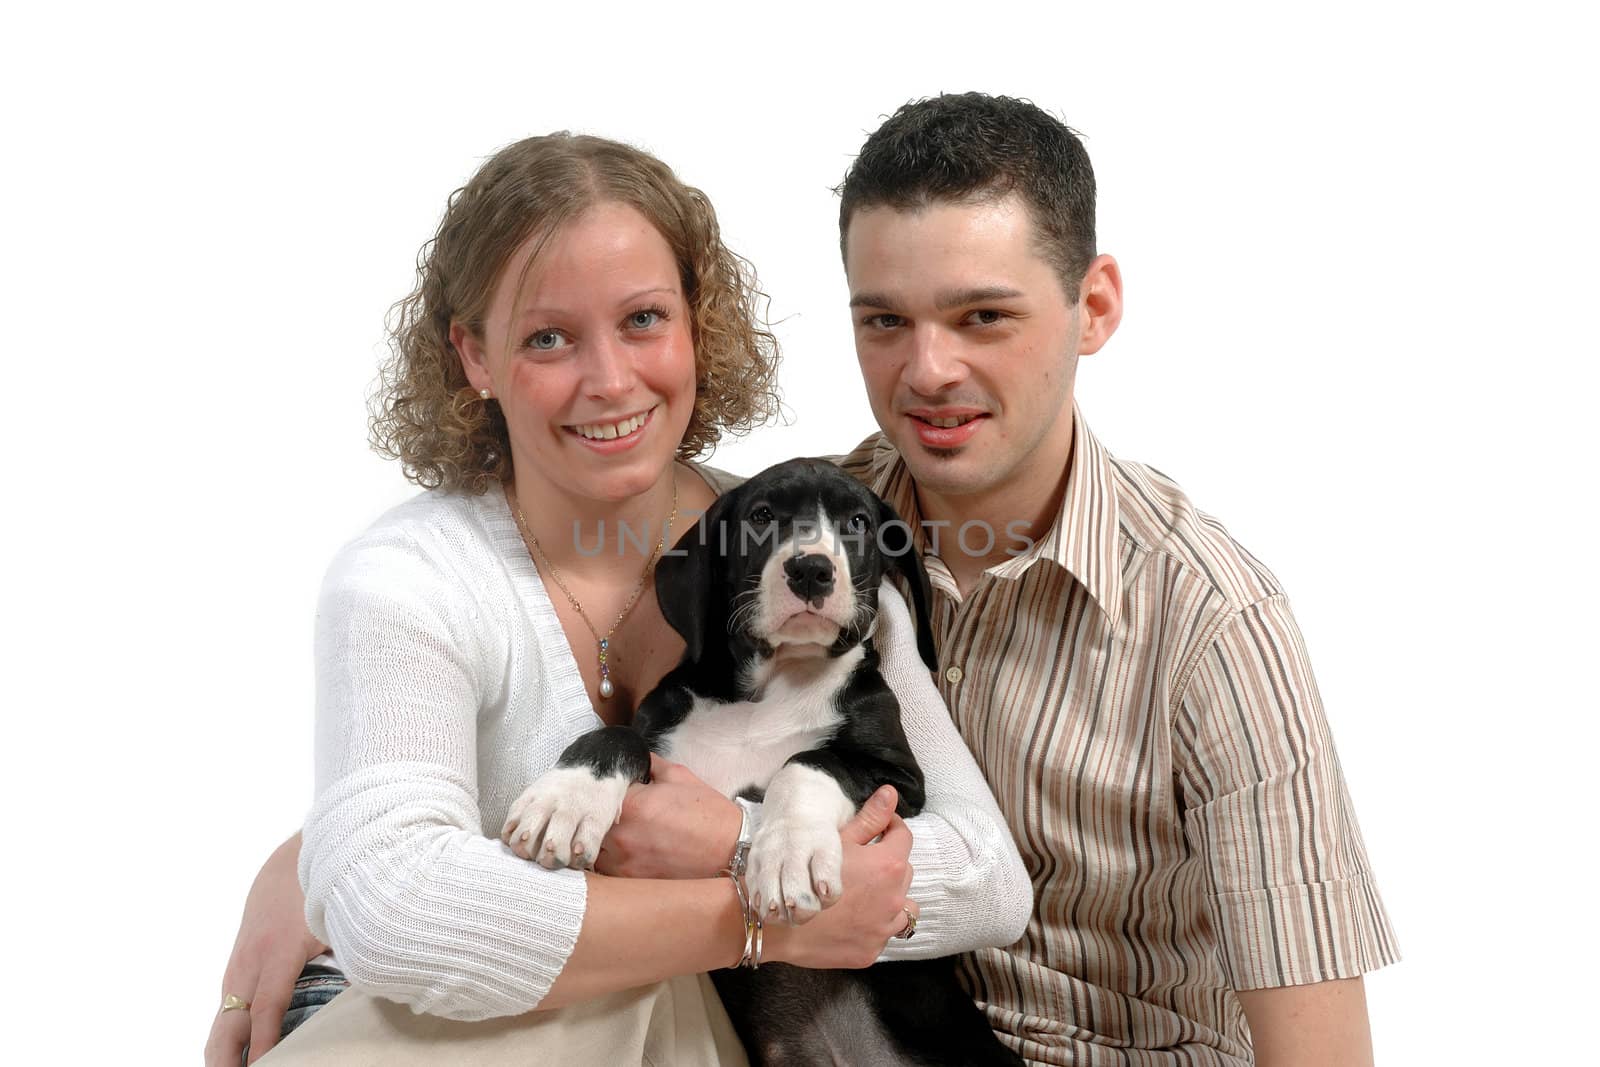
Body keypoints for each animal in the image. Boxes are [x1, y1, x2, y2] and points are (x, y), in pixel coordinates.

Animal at [505, 460, 1017, 1067]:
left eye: (859, 522)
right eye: (762, 516)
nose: (811, 569)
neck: (771, 686)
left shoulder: (902, 782)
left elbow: (811, 758)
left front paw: (790, 852)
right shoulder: (659, 733)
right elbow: (617, 735)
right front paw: (567, 799)